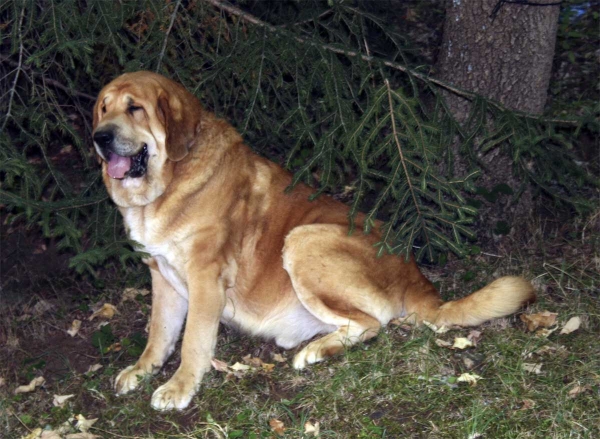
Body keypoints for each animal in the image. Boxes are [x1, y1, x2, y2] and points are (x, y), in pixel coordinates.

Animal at [92, 70, 536, 410]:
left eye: (135, 108)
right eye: (104, 107)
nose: (100, 137)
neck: (165, 186)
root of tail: (416, 276)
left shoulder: (204, 277)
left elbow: (193, 342)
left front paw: (180, 386)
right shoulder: (162, 276)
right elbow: (159, 334)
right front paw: (142, 370)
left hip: (303, 239)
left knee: (371, 323)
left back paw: (316, 350)